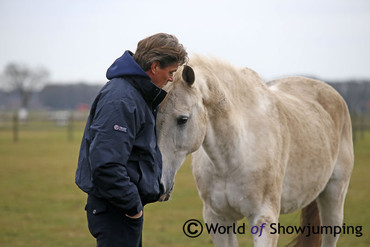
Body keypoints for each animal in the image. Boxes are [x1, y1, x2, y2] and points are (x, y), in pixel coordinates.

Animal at [155, 56, 352, 247]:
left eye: (182, 119)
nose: (159, 185)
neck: (232, 158)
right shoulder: (218, 219)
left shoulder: (264, 219)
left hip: (334, 196)